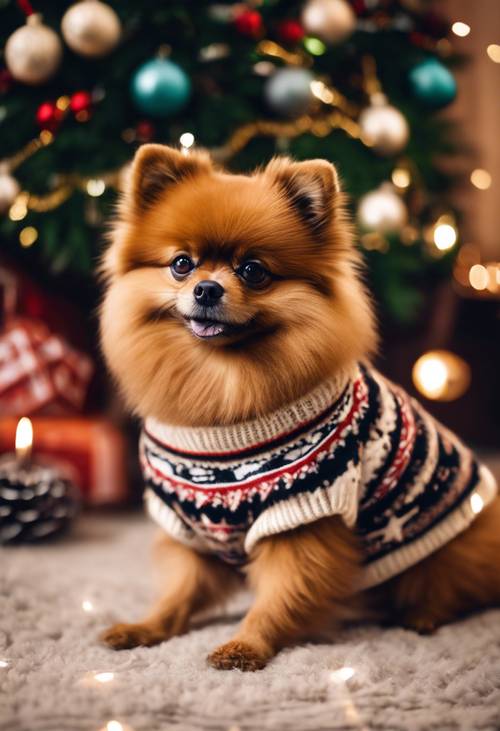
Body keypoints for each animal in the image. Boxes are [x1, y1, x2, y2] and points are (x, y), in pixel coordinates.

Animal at [100, 146, 500, 672]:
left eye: (253, 270)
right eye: (182, 264)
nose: (207, 289)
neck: (221, 387)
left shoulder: (301, 518)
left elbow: (282, 596)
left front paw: (245, 646)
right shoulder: (189, 528)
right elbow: (178, 594)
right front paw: (145, 629)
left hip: (440, 552)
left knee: (452, 587)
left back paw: (422, 616)